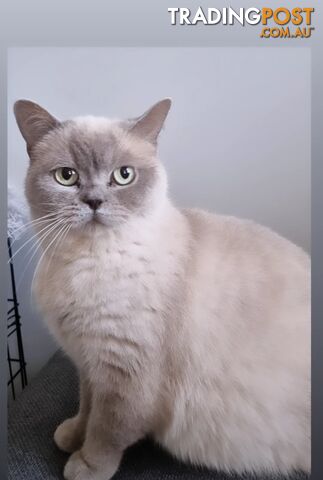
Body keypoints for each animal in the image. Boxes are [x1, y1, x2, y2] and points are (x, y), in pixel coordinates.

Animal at [13, 98, 312, 480]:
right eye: (66, 176)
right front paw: (71, 436)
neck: (86, 263)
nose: (94, 201)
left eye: (123, 175)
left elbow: (106, 430)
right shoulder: (89, 363)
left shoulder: (124, 376)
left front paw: (84, 466)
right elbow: (86, 407)